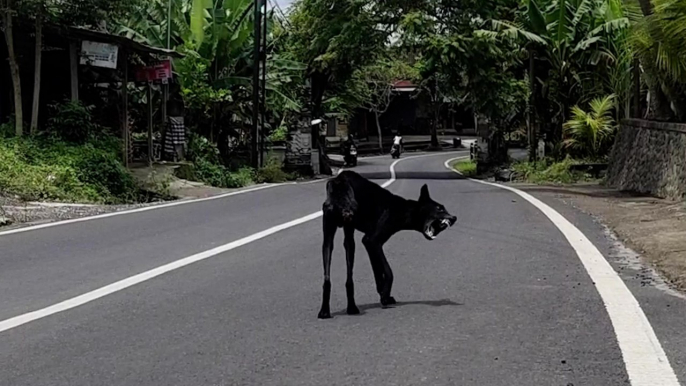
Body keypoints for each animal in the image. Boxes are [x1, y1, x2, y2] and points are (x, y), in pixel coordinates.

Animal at [322, 172, 460, 320]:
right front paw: (385, 297)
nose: (454, 218)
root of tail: (339, 182)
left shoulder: (370, 243)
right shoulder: (373, 240)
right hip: (349, 236)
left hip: (329, 236)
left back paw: (325, 311)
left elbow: (377, 271)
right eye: (440, 208)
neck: (404, 210)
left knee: (327, 277)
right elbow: (388, 271)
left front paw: (384, 294)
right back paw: (351, 308)